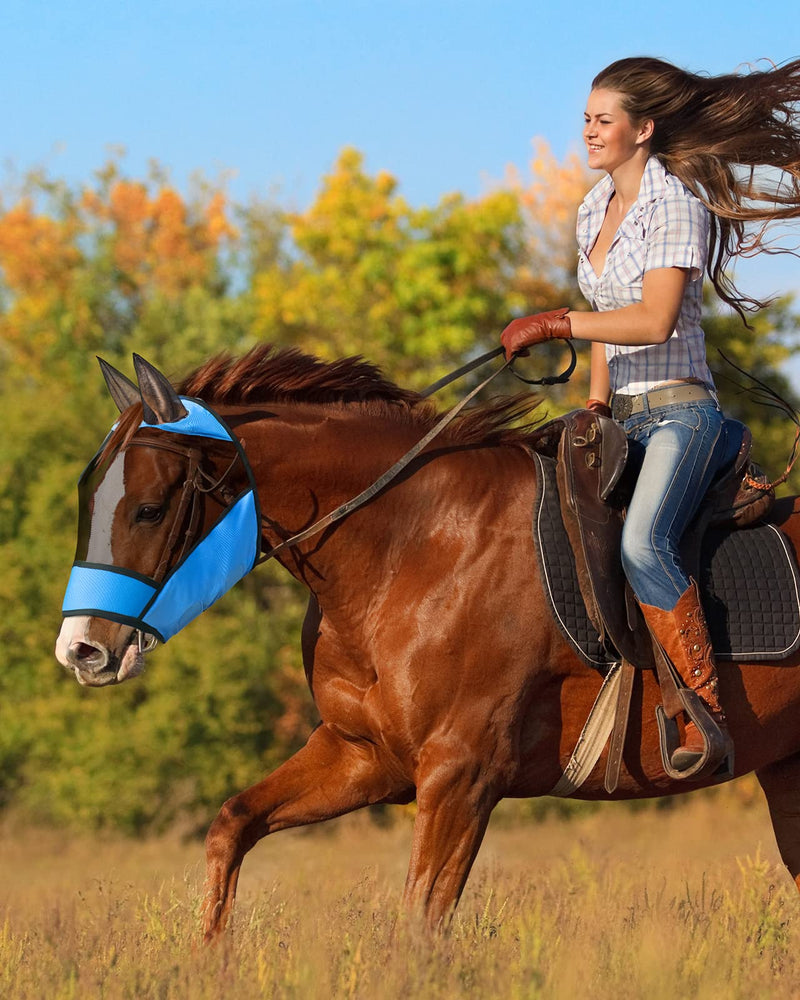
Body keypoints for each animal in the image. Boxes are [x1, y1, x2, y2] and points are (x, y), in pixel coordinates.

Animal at [54, 344, 800, 936]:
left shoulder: (460, 776)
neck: (410, 547)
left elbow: (418, 925)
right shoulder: (363, 756)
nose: (80, 650)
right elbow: (231, 827)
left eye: (149, 509)